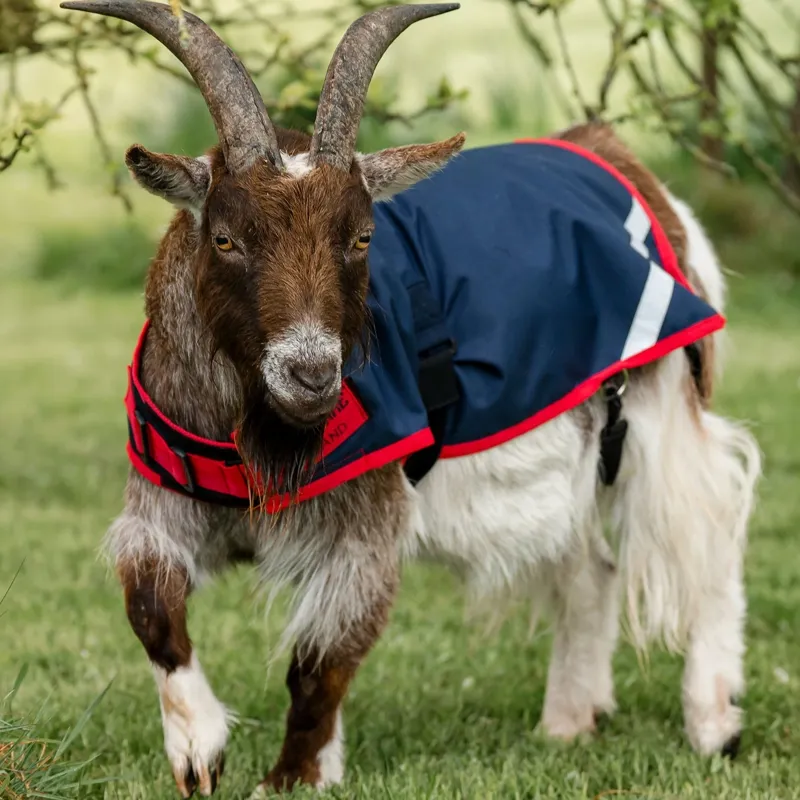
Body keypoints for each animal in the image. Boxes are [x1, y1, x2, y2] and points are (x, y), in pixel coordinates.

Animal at [60, 1, 761, 796]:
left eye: (363, 236)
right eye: (227, 238)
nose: (312, 373)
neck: (255, 433)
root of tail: (620, 159)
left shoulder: (365, 521)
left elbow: (321, 662)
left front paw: (295, 777)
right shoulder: (166, 499)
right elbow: (150, 603)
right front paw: (197, 750)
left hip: (658, 401)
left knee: (707, 527)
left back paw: (714, 722)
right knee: (592, 566)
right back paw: (568, 721)